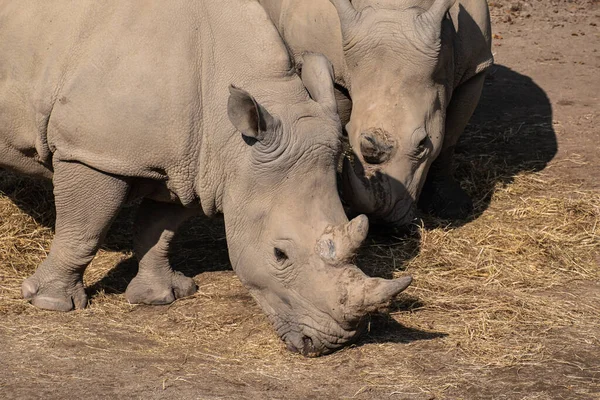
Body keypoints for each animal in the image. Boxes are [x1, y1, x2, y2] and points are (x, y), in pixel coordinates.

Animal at [0, 0, 412, 356]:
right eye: (279, 254)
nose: (331, 343)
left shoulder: (197, 165)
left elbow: (160, 230)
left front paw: (163, 297)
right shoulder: (94, 152)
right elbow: (83, 230)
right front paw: (50, 303)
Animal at [258, 0, 492, 225]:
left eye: (422, 143)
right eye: (349, 133)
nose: (380, 219)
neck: (396, 9)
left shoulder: (476, 66)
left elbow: (449, 139)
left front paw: (453, 209)